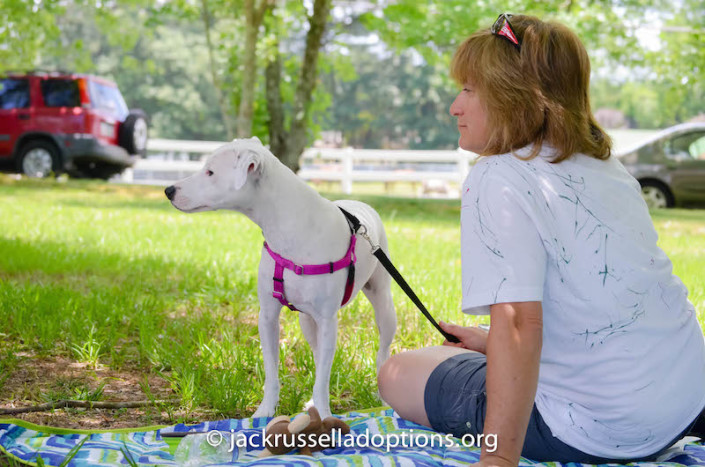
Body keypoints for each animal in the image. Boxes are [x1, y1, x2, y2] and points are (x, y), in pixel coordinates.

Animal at [164, 137, 396, 418]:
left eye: (210, 172)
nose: (168, 190)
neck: (288, 226)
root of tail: (363, 206)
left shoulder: (328, 321)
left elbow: (322, 379)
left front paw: (326, 417)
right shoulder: (267, 317)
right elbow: (272, 373)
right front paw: (264, 412)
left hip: (384, 308)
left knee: (381, 351)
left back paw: (382, 399)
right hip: (308, 322)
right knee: (318, 357)